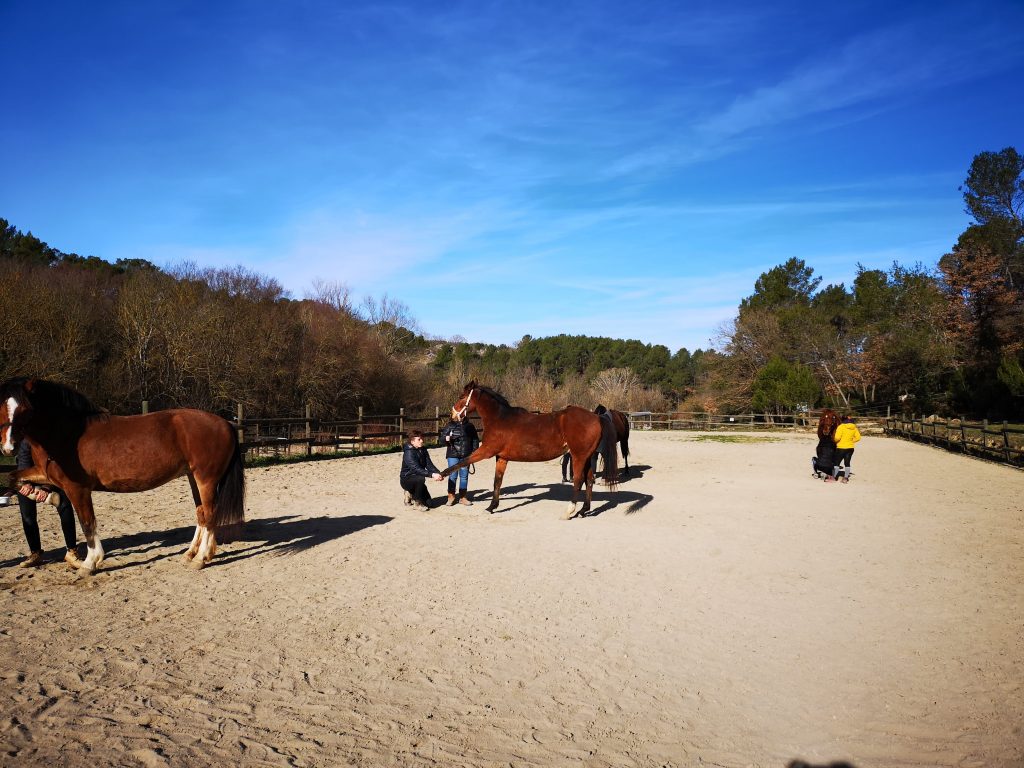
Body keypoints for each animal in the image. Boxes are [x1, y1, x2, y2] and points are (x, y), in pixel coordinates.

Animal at [0, 377, 245, 572]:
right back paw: (190, 554)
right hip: (194, 478)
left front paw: (90, 563)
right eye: (1, 408)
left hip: (206, 480)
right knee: (201, 514)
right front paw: (49, 496)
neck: (68, 433)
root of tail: (226, 424)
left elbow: (87, 523)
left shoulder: (78, 489)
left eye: (26, 409)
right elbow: (13, 477)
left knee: (210, 514)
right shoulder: (46, 474)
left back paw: (201, 559)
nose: (8, 447)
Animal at [441, 381, 618, 519]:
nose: (452, 416)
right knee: (589, 480)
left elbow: (461, 462)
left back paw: (569, 512)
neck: (500, 419)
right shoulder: (501, 457)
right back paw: (583, 511)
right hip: (587, 456)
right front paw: (491, 507)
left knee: (578, 481)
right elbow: (497, 481)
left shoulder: (486, 451)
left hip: (578, 456)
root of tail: (596, 417)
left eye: (461, 397)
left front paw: (440, 475)